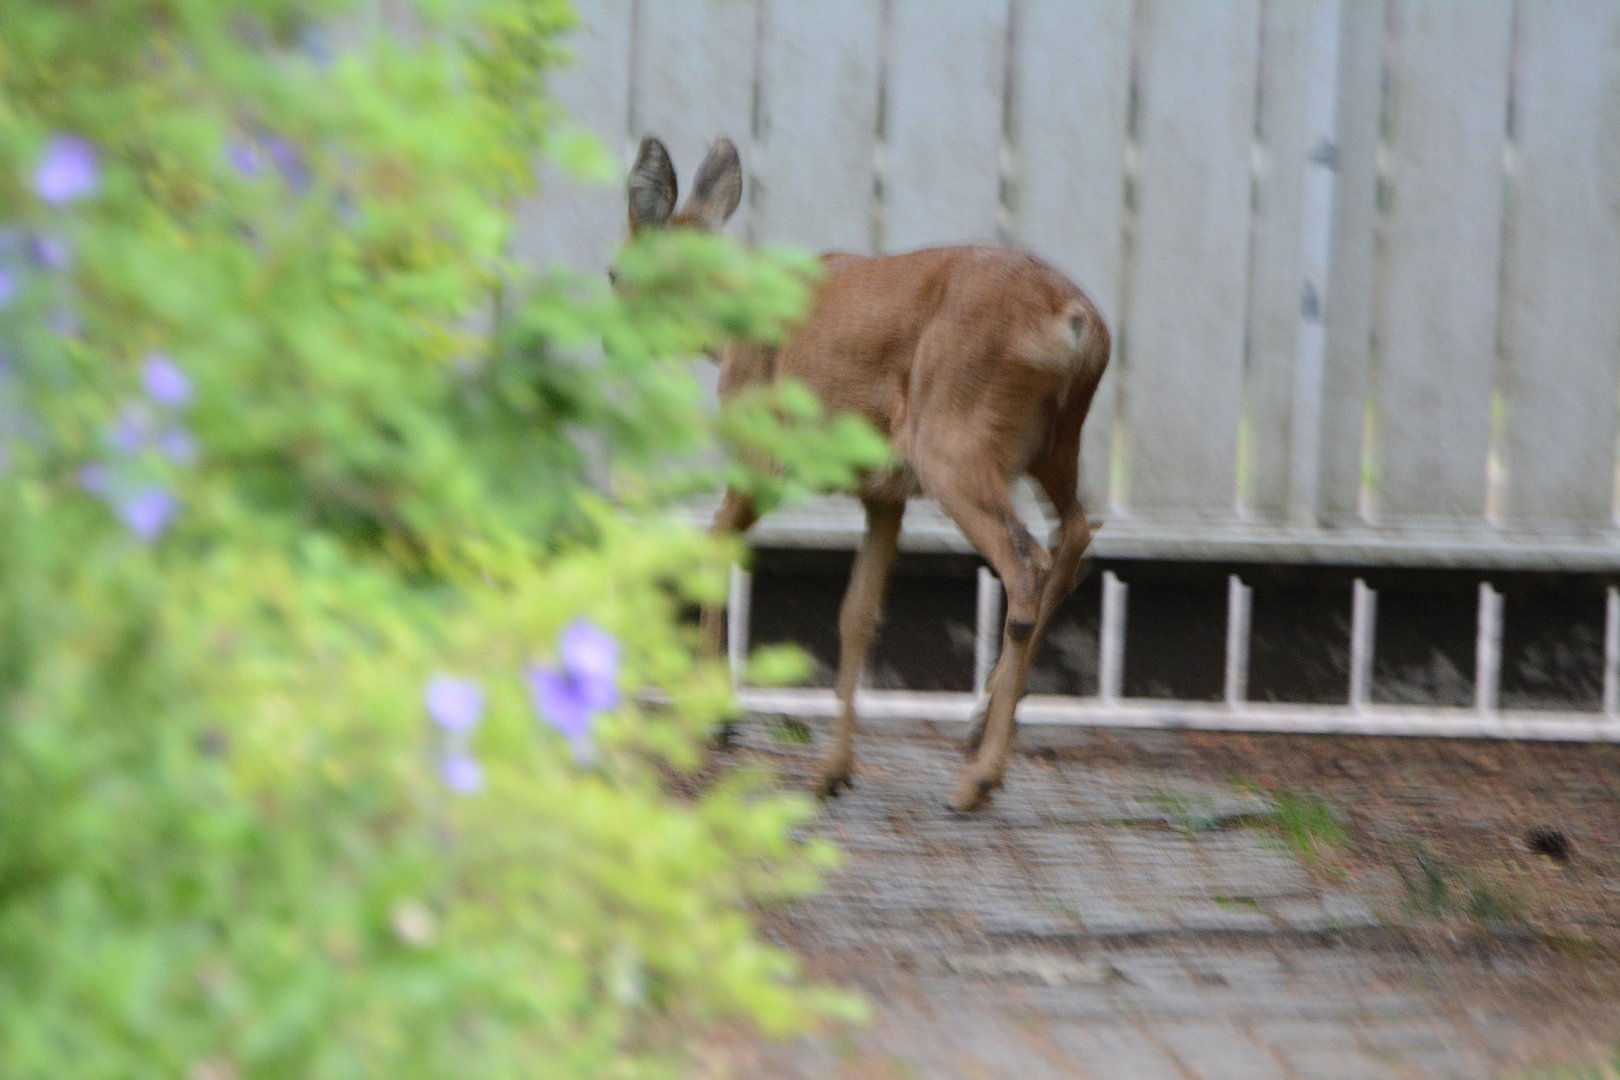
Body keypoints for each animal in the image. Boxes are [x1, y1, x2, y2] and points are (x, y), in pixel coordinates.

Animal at [625, 135, 1108, 809]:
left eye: (614, 274)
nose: (613, 342)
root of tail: (1077, 324)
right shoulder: (885, 493)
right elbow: (858, 614)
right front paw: (833, 770)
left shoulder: (764, 451)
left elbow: (715, 543)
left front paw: (714, 719)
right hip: (1054, 444)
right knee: (1077, 532)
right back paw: (979, 734)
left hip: (954, 444)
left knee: (1027, 562)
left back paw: (977, 779)